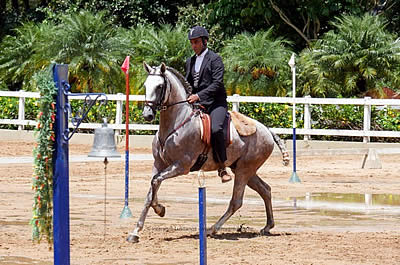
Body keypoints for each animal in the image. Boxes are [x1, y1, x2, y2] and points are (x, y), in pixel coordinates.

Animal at [126, 61, 290, 241]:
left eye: (160, 86)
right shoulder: (159, 164)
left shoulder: (181, 166)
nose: (147, 115)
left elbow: (155, 182)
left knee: (236, 201)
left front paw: (159, 209)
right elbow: (151, 190)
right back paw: (267, 226)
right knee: (265, 190)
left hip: (244, 170)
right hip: (244, 169)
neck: (175, 124)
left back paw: (212, 229)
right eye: (145, 85)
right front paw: (137, 230)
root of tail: (267, 130)